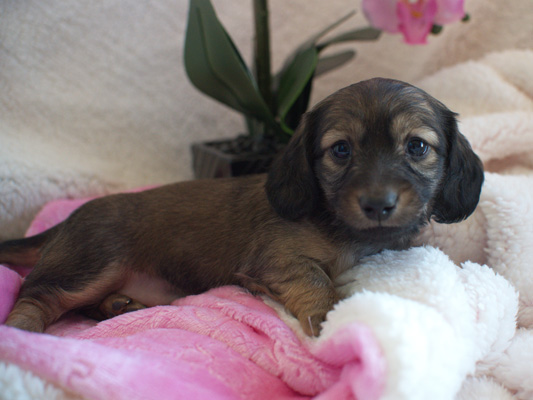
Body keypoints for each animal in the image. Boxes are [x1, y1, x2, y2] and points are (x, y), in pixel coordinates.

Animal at [0, 77, 482, 334]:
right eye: (341, 150)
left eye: (417, 146)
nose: (379, 204)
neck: (341, 227)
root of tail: (68, 221)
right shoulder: (278, 260)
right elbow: (316, 280)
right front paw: (330, 317)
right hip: (92, 263)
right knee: (34, 295)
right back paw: (25, 336)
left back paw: (117, 306)